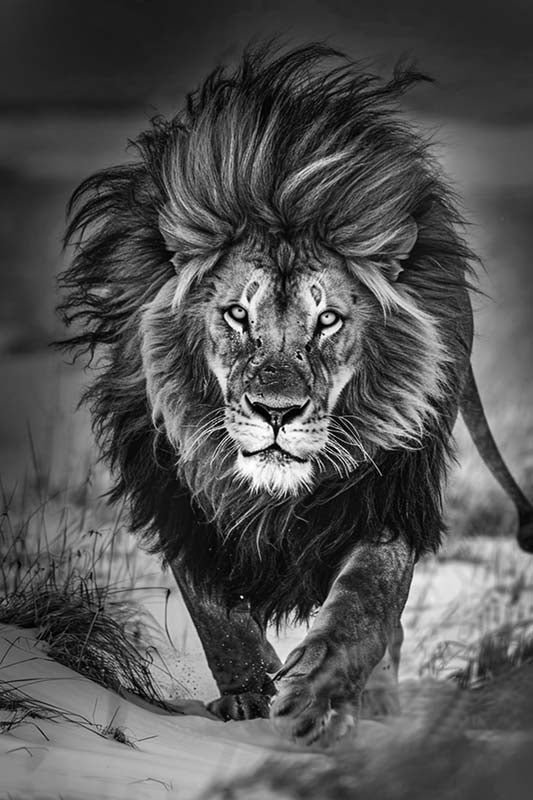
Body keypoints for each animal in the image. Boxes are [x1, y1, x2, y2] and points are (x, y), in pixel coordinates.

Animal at [59, 44, 533, 745]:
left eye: (328, 320)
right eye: (237, 314)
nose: (276, 413)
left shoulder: (386, 497)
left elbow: (367, 604)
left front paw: (320, 696)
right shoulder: (176, 494)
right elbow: (214, 609)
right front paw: (246, 694)